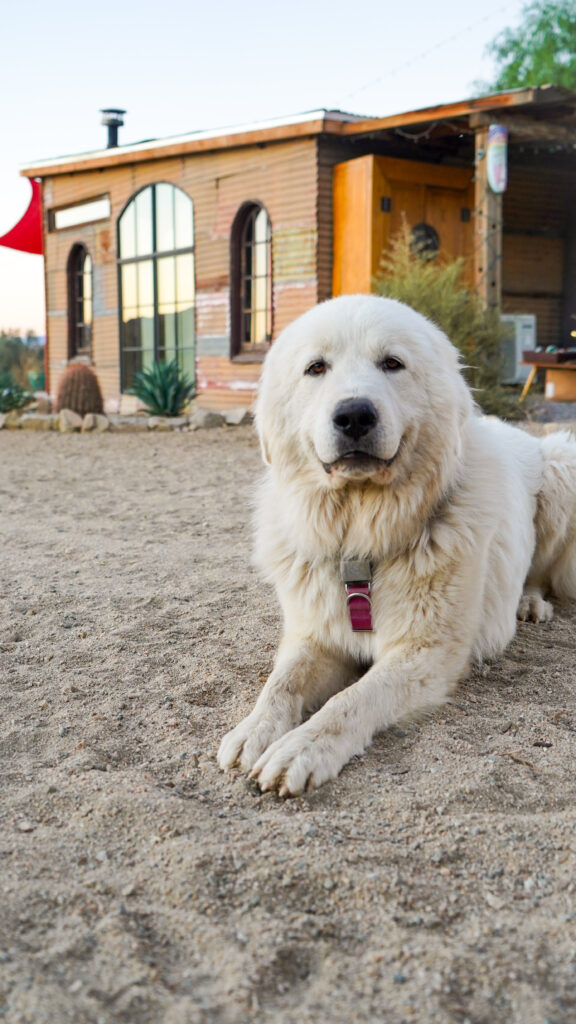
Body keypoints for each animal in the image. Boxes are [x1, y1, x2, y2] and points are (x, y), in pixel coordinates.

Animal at [216, 292, 573, 794]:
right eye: (316, 368)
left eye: (392, 363)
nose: (353, 415)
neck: (362, 540)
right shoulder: (316, 634)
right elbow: (281, 682)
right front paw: (255, 729)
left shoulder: (425, 654)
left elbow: (350, 700)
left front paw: (300, 748)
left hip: (562, 464)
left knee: (540, 573)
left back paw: (530, 601)